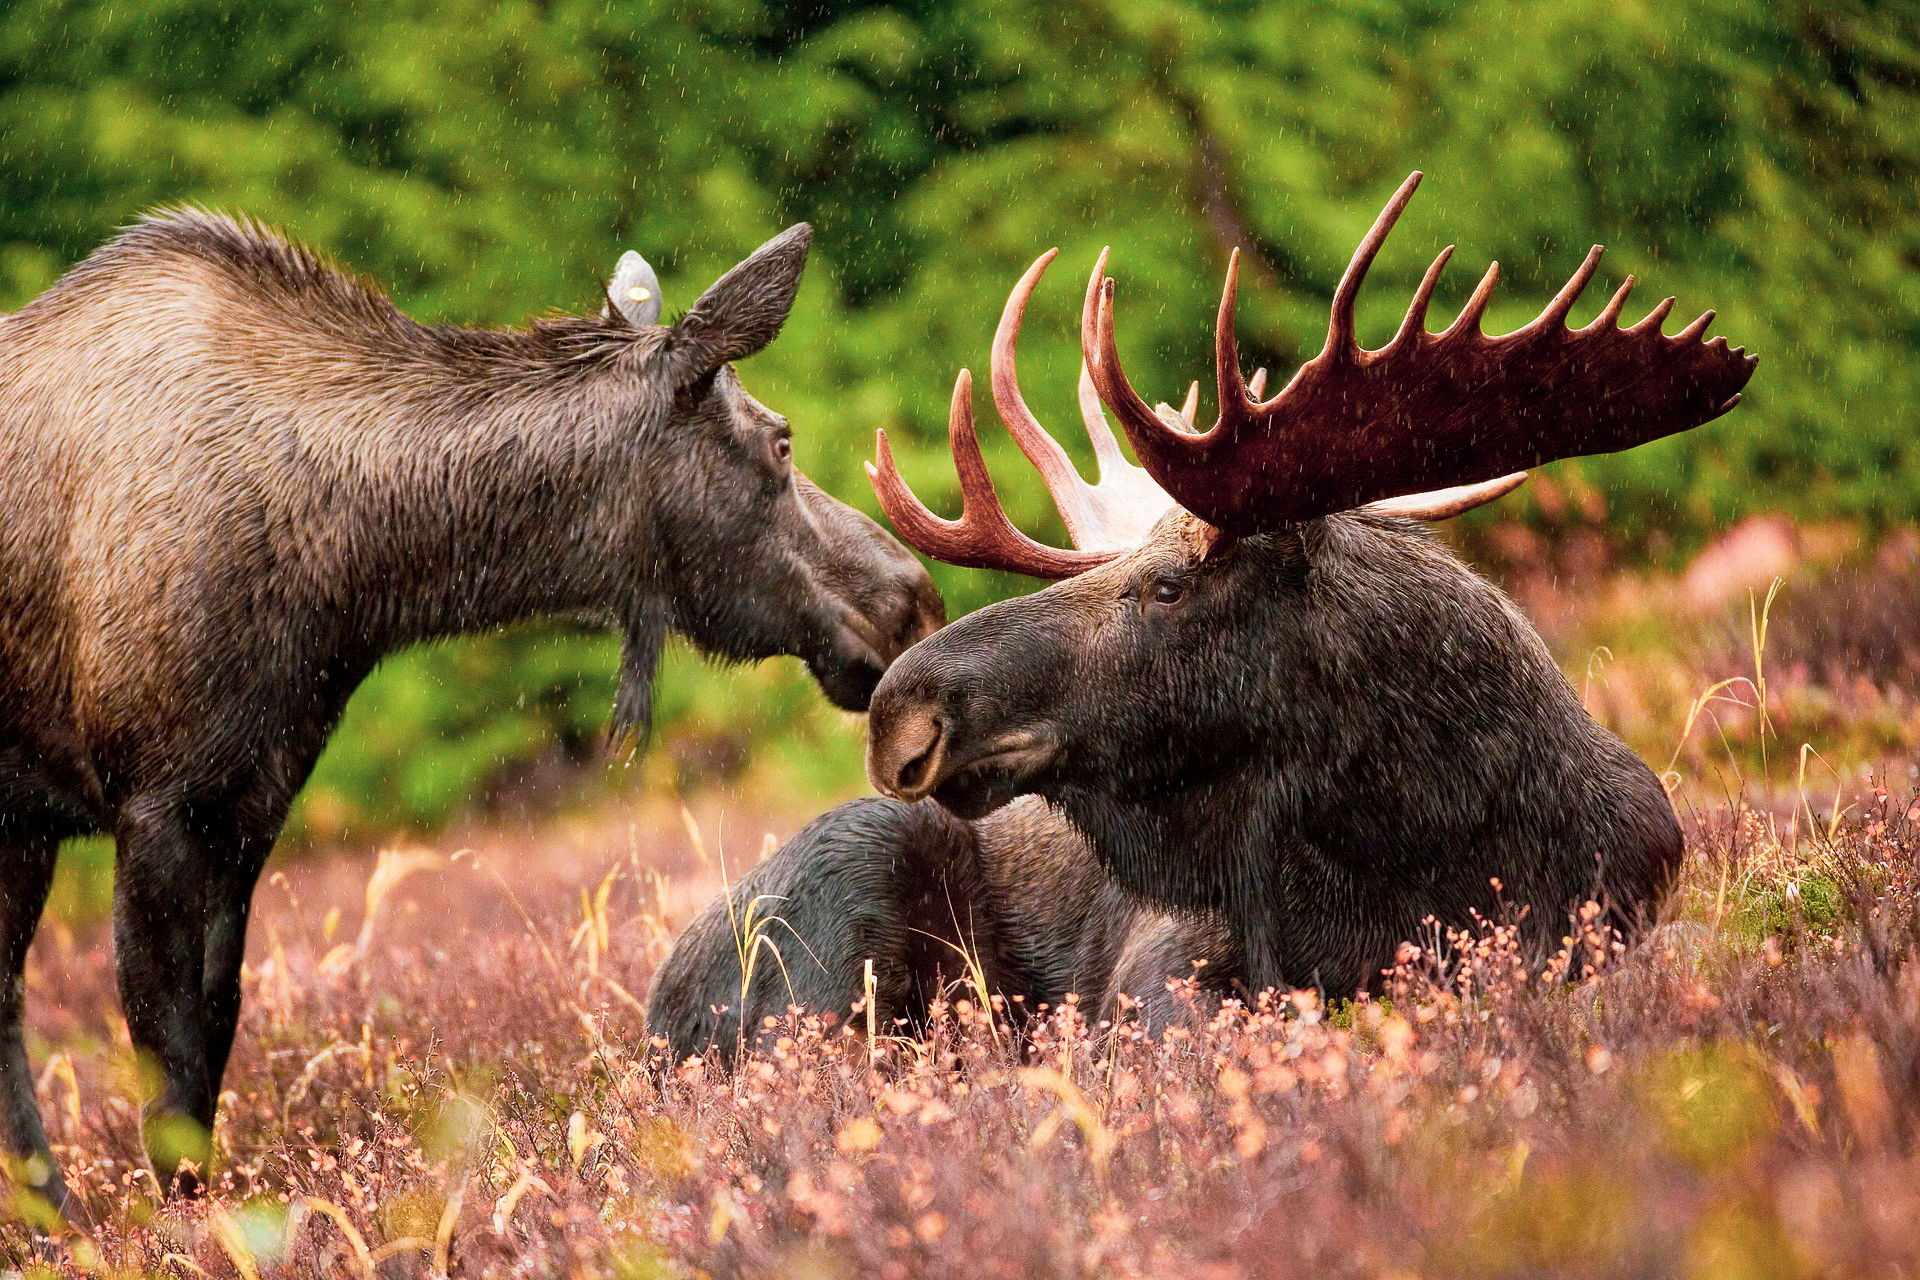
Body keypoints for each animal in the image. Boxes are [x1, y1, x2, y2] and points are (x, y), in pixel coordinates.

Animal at [0, 214, 944, 1220]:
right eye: (781, 443)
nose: (912, 600)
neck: (349, 576)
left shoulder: (250, 802)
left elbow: (214, 1035)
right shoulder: (154, 803)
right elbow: (168, 1066)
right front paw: (185, 1228)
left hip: (25, 829)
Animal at [645, 175, 1758, 1066]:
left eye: (1170, 586)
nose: (900, 710)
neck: (1422, 840)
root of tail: (653, 1010)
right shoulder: (1166, 965)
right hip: (848, 890)